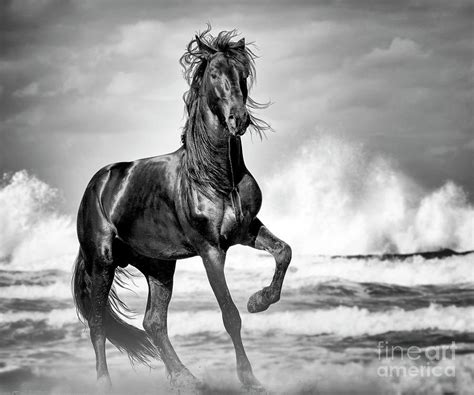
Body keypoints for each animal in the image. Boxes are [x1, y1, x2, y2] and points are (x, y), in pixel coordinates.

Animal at [71, 27, 290, 392]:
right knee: (98, 325)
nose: (239, 119)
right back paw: (106, 383)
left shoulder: (247, 231)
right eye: (214, 74)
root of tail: (97, 185)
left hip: (159, 266)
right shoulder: (210, 249)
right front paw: (249, 378)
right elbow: (230, 315)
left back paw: (185, 378)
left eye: (243, 74)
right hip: (102, 262)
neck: (215, 177)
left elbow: (283, 252)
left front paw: (259, 300)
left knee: (153, 322)